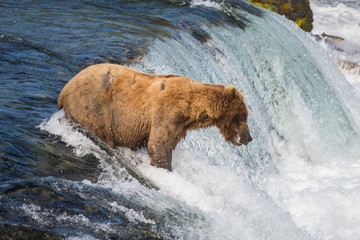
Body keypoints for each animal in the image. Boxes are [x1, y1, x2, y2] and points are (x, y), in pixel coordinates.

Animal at [57, 62, 252, 170]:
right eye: (244, 116)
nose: (249, 137)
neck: (193, 107)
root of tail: (64, 90)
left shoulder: (181, 125)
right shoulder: (167, 112)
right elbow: (159, 144)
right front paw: (165, 168)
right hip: (94, 107)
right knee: (104, 134)